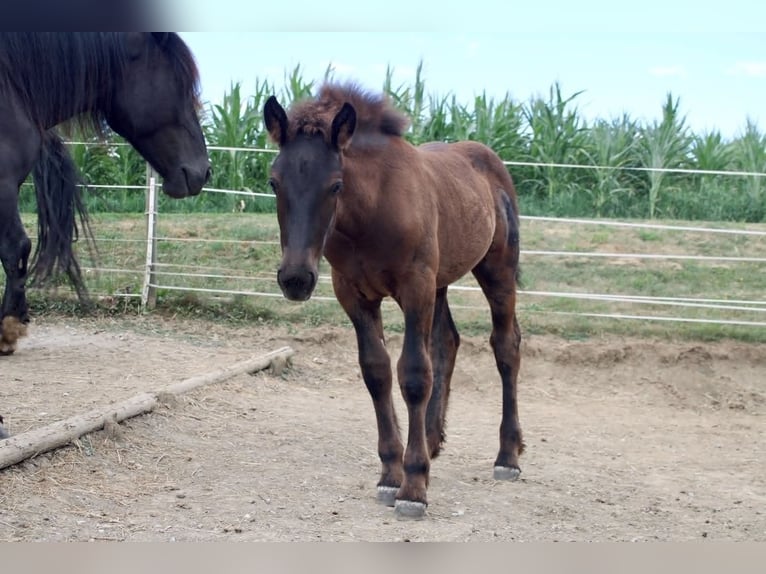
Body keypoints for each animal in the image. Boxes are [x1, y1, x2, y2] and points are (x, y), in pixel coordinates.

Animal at [0, 33, 211, 355]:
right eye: (183, 86)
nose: (203, 171)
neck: (13, 88)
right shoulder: (4, 185)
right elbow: (16, 249)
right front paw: (7, 330)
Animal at [263, 83, 523, 519]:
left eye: (336, 185)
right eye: (273, 183)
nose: (296, 279)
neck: (370, 214)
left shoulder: (415, 287)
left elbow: (414, 375)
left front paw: (413, 487)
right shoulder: (353, 294)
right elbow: (377, 372)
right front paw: (390, 474)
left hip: (496, 272)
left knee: (506, 346)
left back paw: (508, 455)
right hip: (441, 282)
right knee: (447, 342)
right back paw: (432, 443)